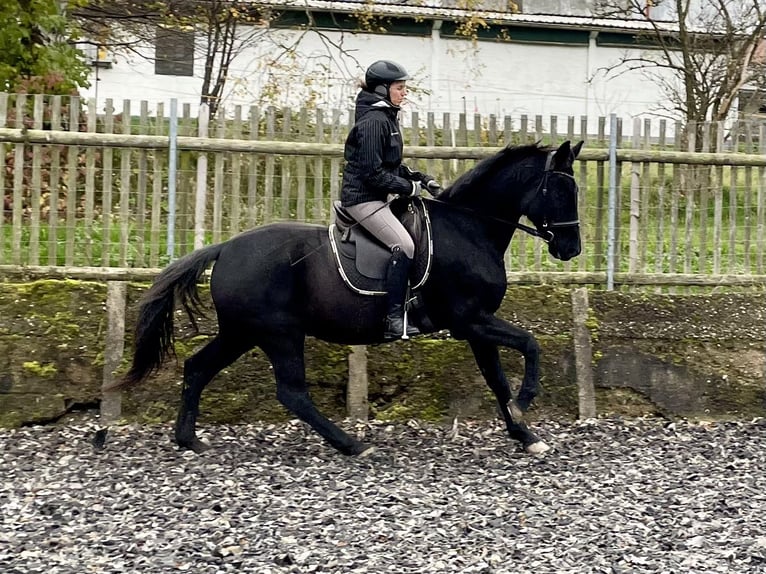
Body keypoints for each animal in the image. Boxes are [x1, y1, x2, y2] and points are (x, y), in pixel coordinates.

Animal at [111, 141, 584, 460]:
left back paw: (188, 439)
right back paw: (352, 445)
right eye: (561, 191)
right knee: (292, 392)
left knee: (197, 368)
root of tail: (225, 248)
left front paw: (524, 434)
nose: (571, 249)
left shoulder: (477, 325)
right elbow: (530, 346)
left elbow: (497, 378)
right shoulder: (470, 320)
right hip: (279, 334)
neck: (470, 229)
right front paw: (526, 404)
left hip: (243, 332)